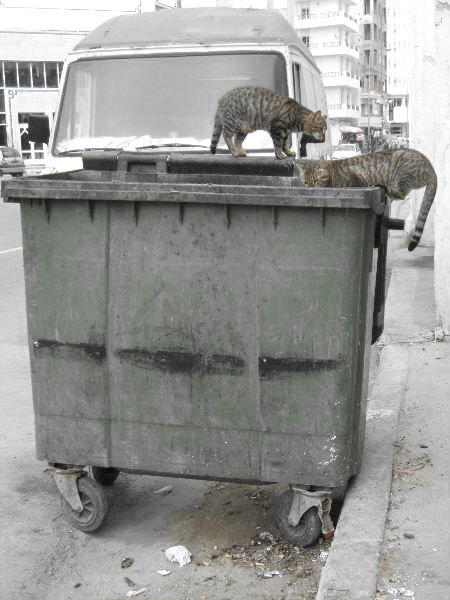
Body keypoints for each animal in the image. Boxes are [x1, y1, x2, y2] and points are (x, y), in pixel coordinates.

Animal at [301, 149, 437, 251]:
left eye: (316, 180)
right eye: (306, 182)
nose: (310, 188)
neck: (332, 173)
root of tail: (432, 171)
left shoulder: (358, 176)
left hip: (399, 169)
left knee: (401, 194)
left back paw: (383, 187)